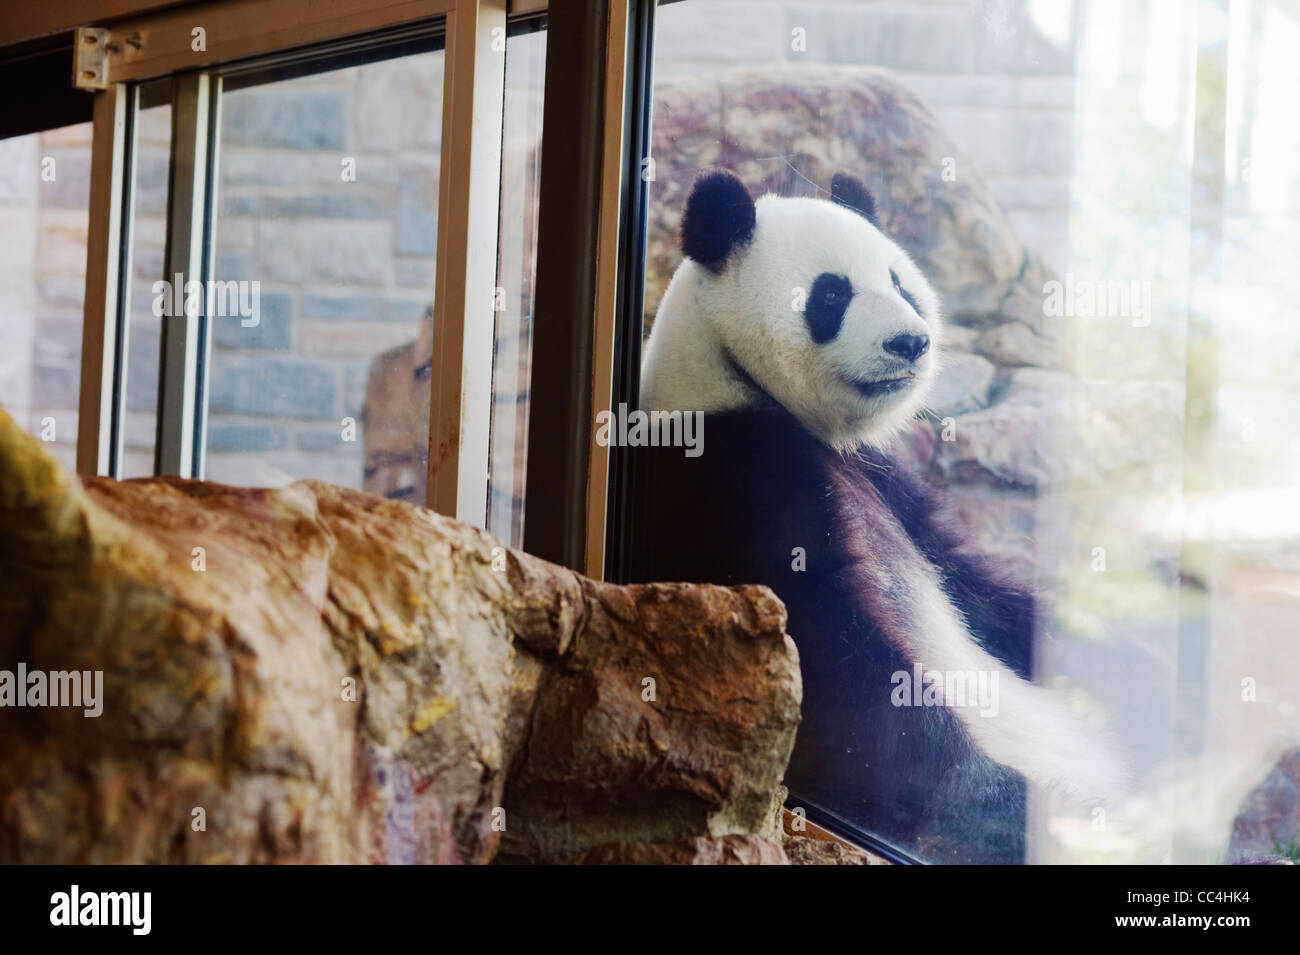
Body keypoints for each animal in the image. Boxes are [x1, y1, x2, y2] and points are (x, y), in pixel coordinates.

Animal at [626, 170, 1123, 863]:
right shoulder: (732, 476)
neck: (733, 381)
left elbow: (972, 580)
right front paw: (1013, 809)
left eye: (900, 283)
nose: (910, 340)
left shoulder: (884, 478)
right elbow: (834, 670)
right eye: (832, 294)